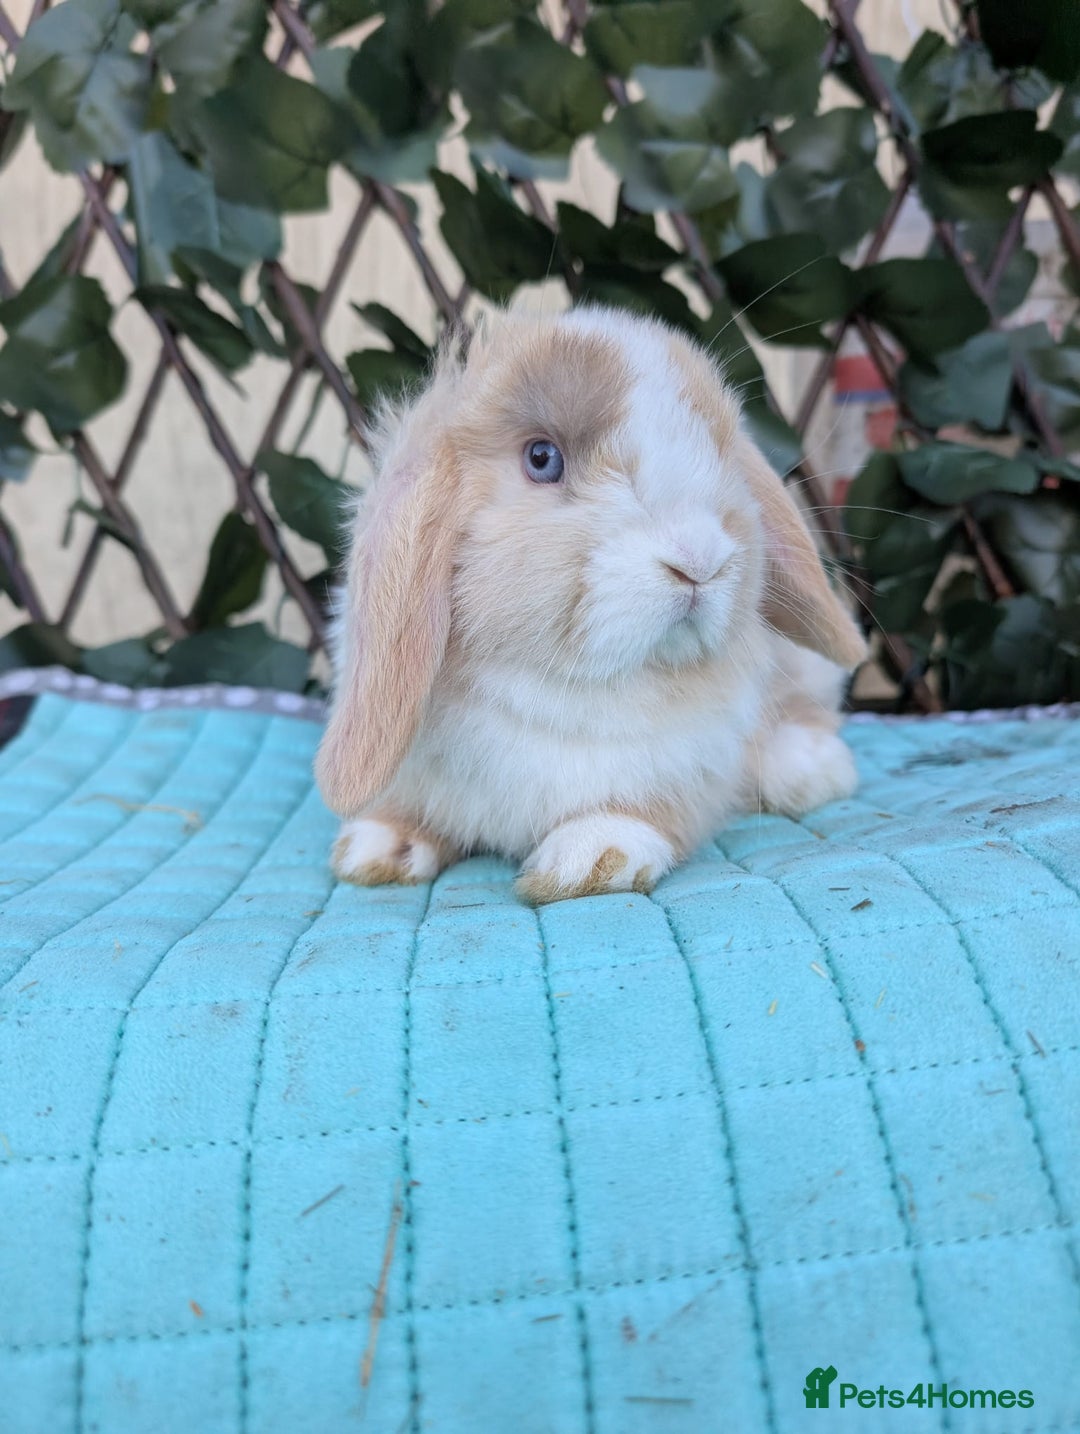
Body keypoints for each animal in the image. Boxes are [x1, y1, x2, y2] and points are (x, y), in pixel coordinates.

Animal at [315, 305, 868, 904]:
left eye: (719, 455)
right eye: (542, 458)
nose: (701, 559)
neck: (558, 684)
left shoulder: (683, 769)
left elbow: (638, 812)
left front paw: (589, 859)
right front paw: (376, 848)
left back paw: (814, 770)